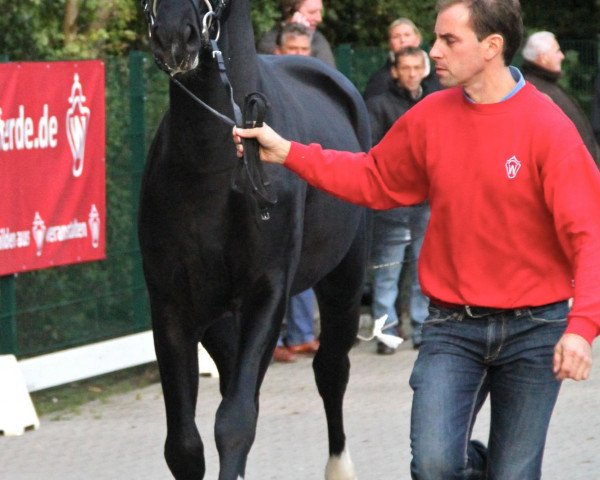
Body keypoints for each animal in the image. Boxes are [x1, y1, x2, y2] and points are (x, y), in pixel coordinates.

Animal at [139, 0, 370, 480]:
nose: (174, 37)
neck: (211, 164)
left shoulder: (266, 294)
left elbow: (235, 422)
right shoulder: (172, 306)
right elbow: (184, 446)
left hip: (343, 282)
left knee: (330, 370)